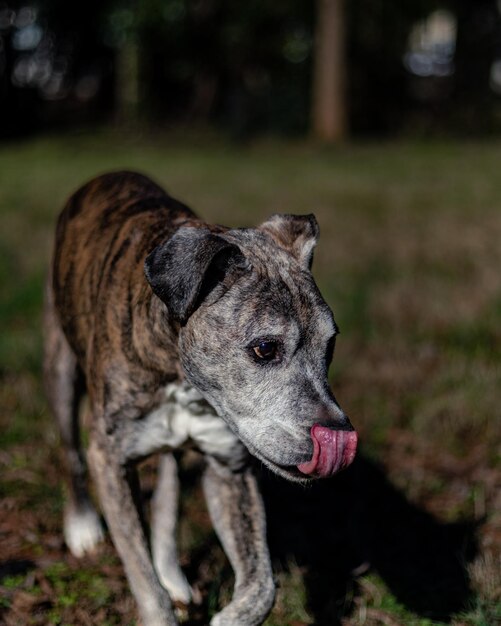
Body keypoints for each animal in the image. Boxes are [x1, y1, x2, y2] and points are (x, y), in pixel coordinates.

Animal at [42, 171, 356, 624]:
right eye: (265, 348)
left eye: (330, 347)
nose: (338, 434)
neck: (182, 376)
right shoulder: (111, 460)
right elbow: (143, 580)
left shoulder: (230, 469)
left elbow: (262, 584)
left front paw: (227, 616)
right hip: (60, 367)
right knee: (71, 451)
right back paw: (83, 525)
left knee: (168, 490)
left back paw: (173, 572)